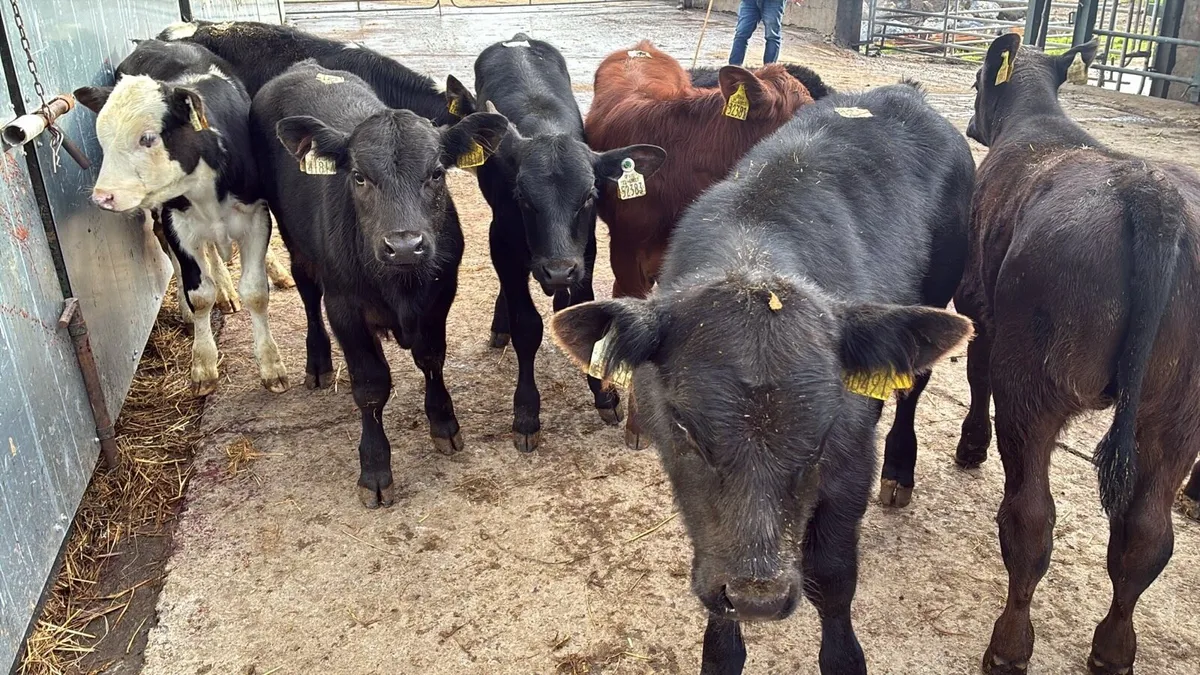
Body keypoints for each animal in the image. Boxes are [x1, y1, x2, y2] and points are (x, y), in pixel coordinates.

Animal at [251, 61, 508, 508]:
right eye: (358, 176)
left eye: (436, 173)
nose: (404, 245)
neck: (401, 287)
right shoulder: (345, 308)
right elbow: (370, 386)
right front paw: (374, 469)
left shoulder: (440, 296)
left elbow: (431, 359)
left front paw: (444, 424)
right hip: (291, 237)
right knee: (306, 290)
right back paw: (318, 363)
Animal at [442, 34, 665, 452]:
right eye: (522, 197)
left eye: (590, 195)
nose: (557, 270)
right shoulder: (504, 244)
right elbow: (527, 325)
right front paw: (526, 413)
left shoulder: (585, 254)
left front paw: (603, 394)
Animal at [552, 82, 975, 674]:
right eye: (684, 429)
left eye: (822, 434)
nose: (759, 597)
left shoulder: (850, 460)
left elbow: (833, 576)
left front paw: (844, 656)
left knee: (911, 392)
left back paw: (900, 472)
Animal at [956, 34, 1200, 675]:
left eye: (975, 82)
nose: (970, 123)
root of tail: (1150, 192)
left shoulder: (978, 301)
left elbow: (976, 374)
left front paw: (970, 447)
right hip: (1180, 409)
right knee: (1145, 535)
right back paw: (1113, 649)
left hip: (1031, 382)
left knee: (1030, 520)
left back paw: (1009, 645)